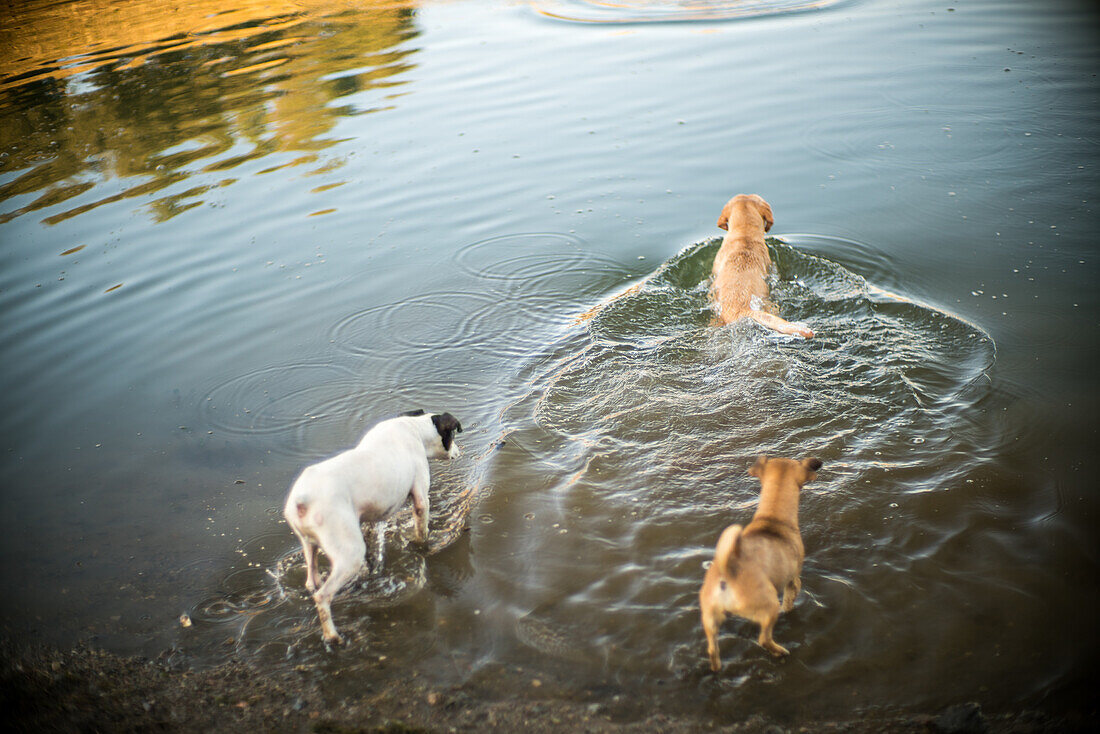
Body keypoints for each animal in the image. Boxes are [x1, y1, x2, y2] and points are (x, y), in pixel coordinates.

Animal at [286, 411, 462, 647]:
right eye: (452, 436)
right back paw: (333, 636)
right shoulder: (420, 501)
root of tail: (302, 500)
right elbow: (421, 532)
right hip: (350, 555)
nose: (458, 451)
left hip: (309, 546)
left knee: (312, 580)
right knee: (322, 597)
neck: (415, 428)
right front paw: (423, 546)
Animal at [699, 455, 822, 669]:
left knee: (713, 649)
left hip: (710, 619)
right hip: (769, 605)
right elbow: (788, 602)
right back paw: (780, 651)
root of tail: (726, 572)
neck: (772, 518)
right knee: (764, 639)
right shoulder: (793, 581)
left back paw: (717, 667)